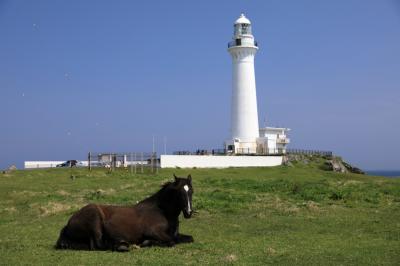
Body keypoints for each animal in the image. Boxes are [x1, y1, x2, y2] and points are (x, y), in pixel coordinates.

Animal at [55, 175, 195, 251]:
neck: (162, 211)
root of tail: (68, 223)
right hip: (94, 220)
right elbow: (171, 241)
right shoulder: (153, 232)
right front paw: (146, 243)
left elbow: (188, 238)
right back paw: (121, 246)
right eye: (179, 193)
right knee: (99, 245)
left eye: (191, 191)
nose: (188, 213)